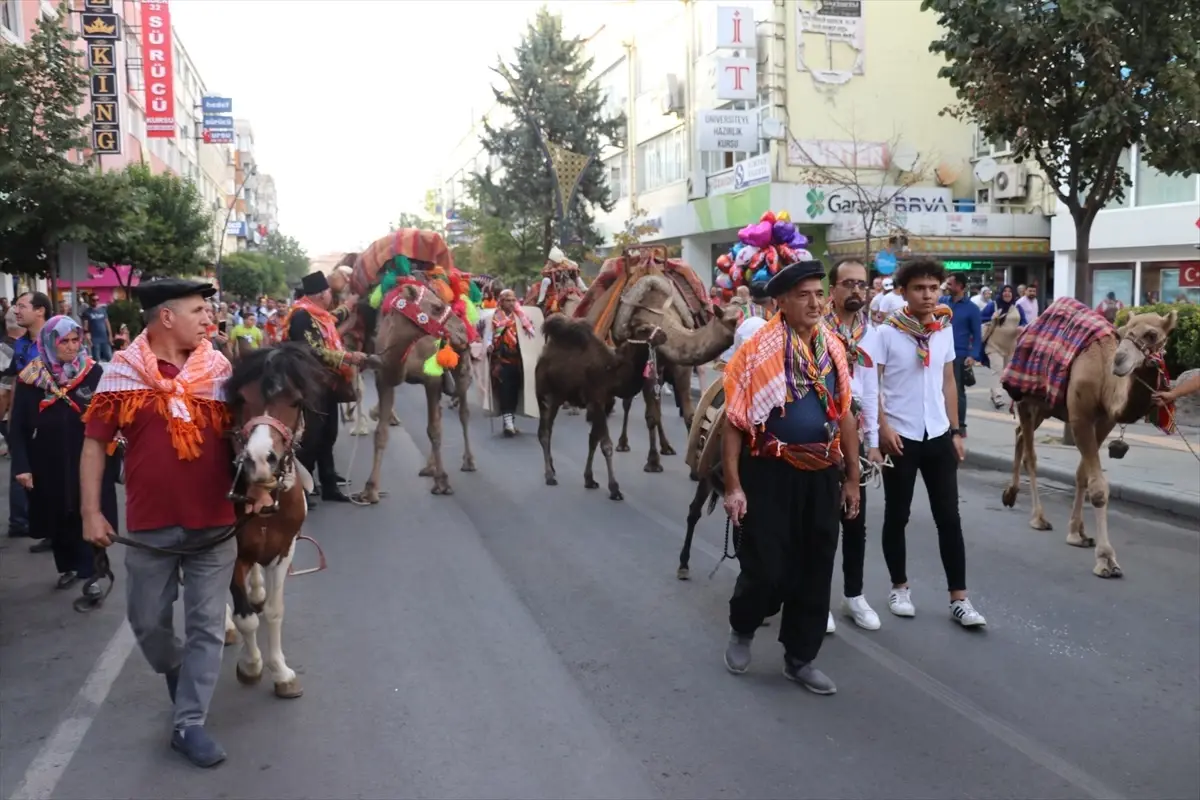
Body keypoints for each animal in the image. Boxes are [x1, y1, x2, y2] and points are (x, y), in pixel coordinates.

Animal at [223, 345, 328, 700]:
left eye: (295, 401)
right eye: (242, 398)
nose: (259, 459)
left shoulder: (284, 550)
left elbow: (273, 611)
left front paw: (281, 672)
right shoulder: (232, 555)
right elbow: (246, 618)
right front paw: (251, 665)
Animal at [540, 314, 672, 496]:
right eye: (643, 329)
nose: (664, 335)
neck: (612, 372)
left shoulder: (606, 404)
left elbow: (593, 440)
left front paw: (589, 479)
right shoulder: (596, 401)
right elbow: (606, 445)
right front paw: (614, 488)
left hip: (558, 396)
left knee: (549, 430)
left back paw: (552, 468)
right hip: (546, 395)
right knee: (544, 432)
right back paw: (549, 476)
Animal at [998, 309, 1176, 582]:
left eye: (1152, 334)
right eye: (1123, 332)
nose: (1119, 361)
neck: (1104, 381)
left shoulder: (1104, 422)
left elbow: (1083, 475)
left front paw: (1077, 533)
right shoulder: (1080, 416)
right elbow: (1098, 487)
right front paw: (1106, 559)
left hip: (1045, 405)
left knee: (1019, 435)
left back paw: (1010, 494)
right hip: (1026, 398)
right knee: (1030, 455)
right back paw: (1038, 517)